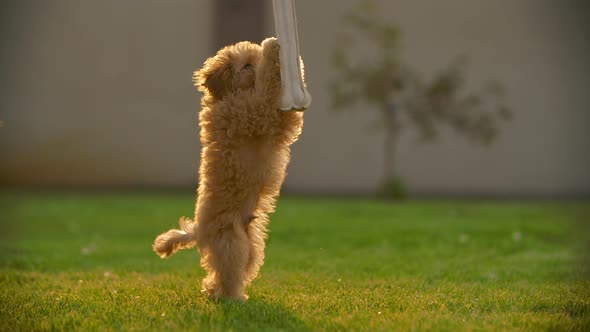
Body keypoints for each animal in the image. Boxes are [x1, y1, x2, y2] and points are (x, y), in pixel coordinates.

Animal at [153, 37, 306, 300]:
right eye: (246, 65)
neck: (228, 95)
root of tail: (199, 230)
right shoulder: (255, 111)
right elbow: (267, 85)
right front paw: (272, 49)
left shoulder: (277, 120)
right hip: (231, 241)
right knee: (228, 272)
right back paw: (232, 298)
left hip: (251, 246)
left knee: (225, 271)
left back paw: (214, 291)